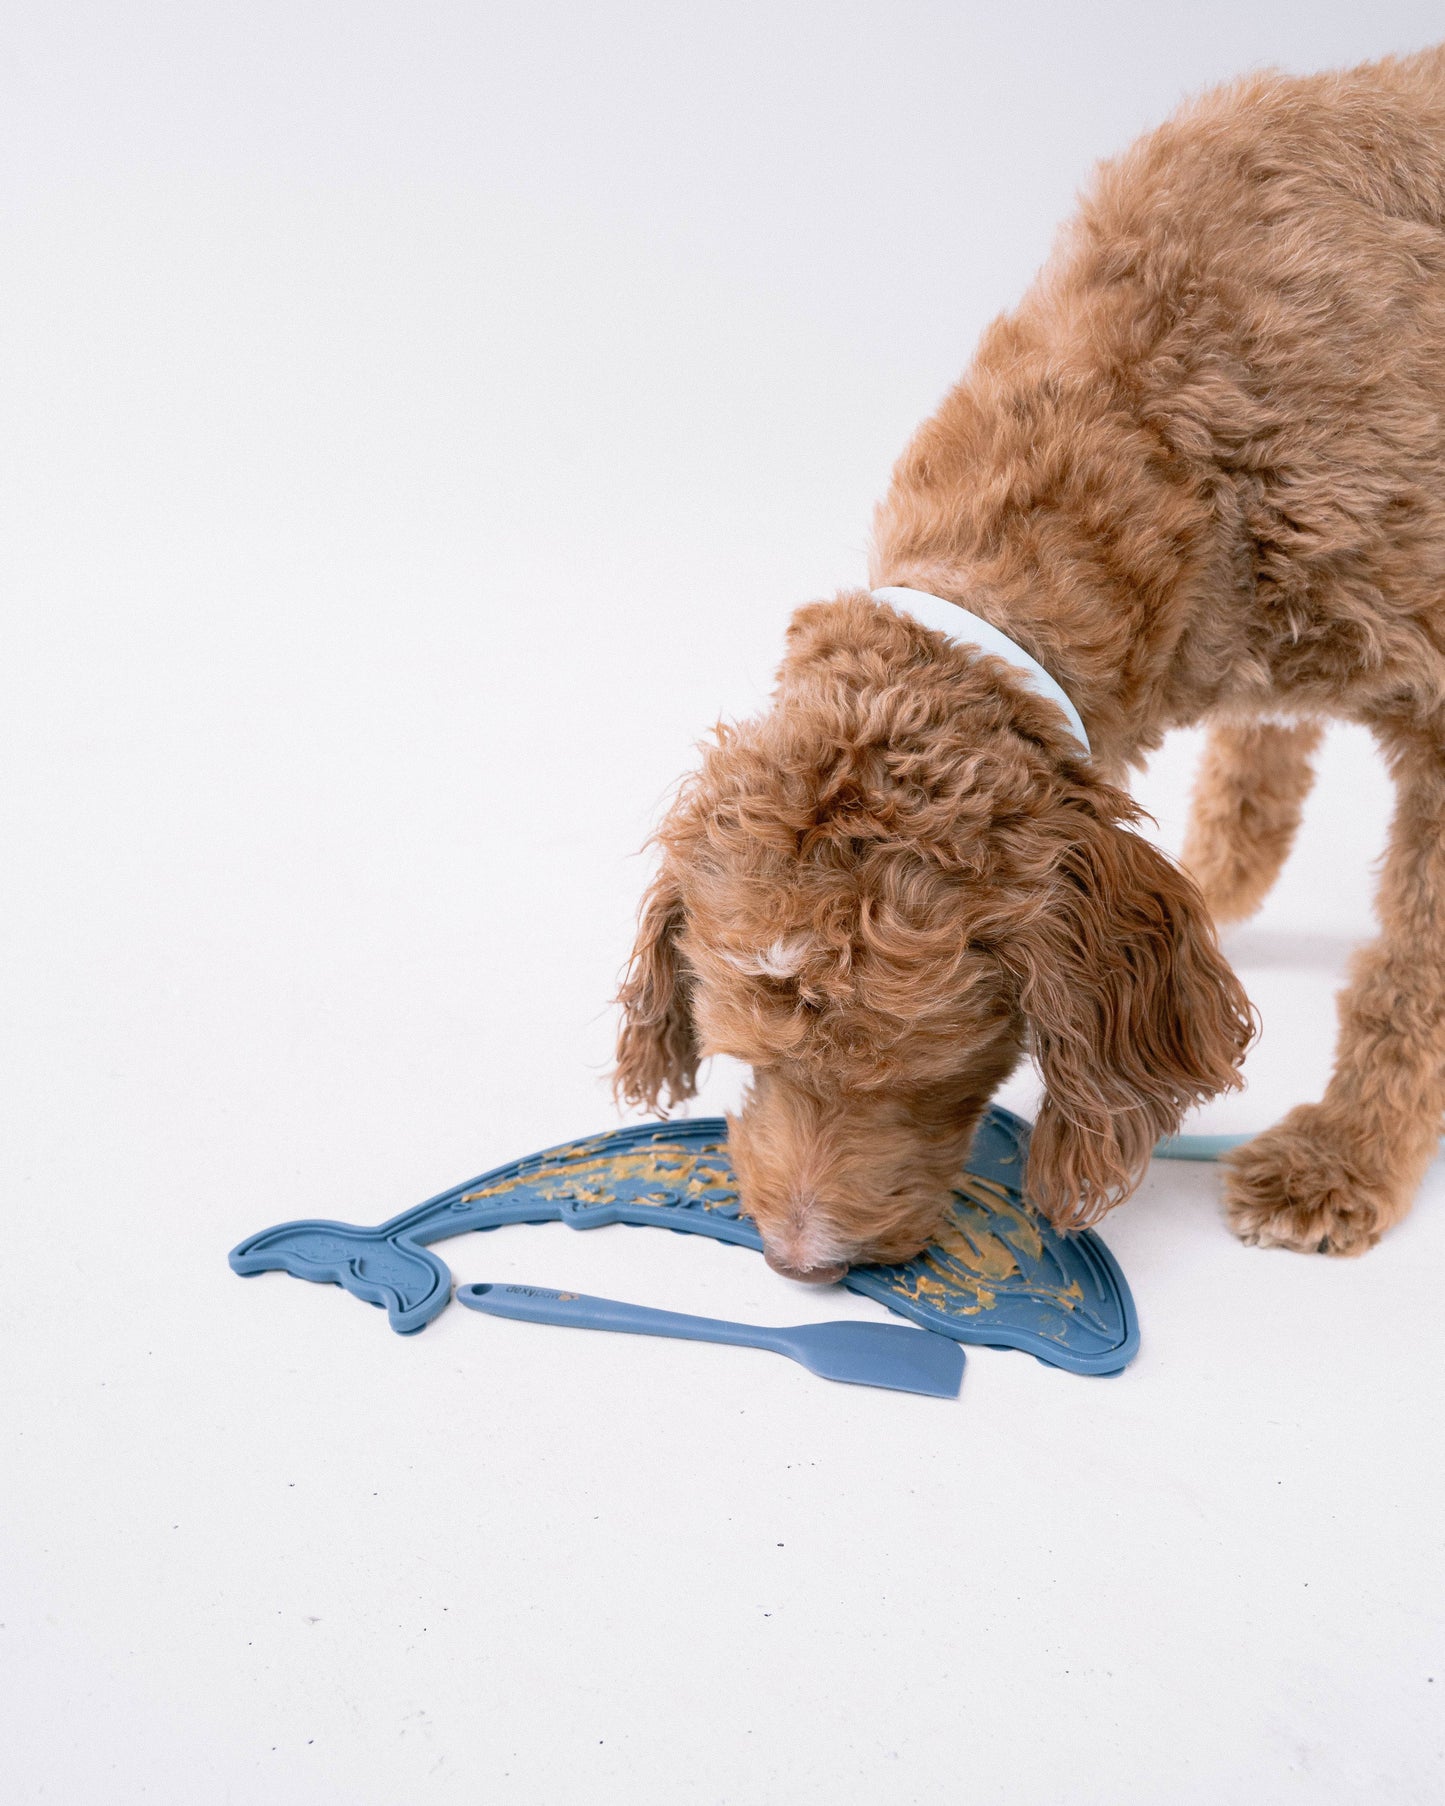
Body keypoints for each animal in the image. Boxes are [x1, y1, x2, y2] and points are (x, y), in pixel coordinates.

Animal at [614, 49, 1445, 1278]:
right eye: (740, 1048)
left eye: (921, 1060)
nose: (802, 1263)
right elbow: (1260, 747)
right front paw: (1222, 867)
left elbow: (1408, 971)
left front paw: (1345, 1157)